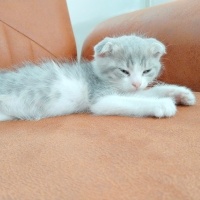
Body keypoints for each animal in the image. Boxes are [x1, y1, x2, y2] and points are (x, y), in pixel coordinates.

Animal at [0, 35, 195, 121]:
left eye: (146, 71)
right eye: (124, 71)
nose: (137, 83)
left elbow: (148, 92)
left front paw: (180, 93)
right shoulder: (100, 98)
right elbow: (133, 101)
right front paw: (162, 104)